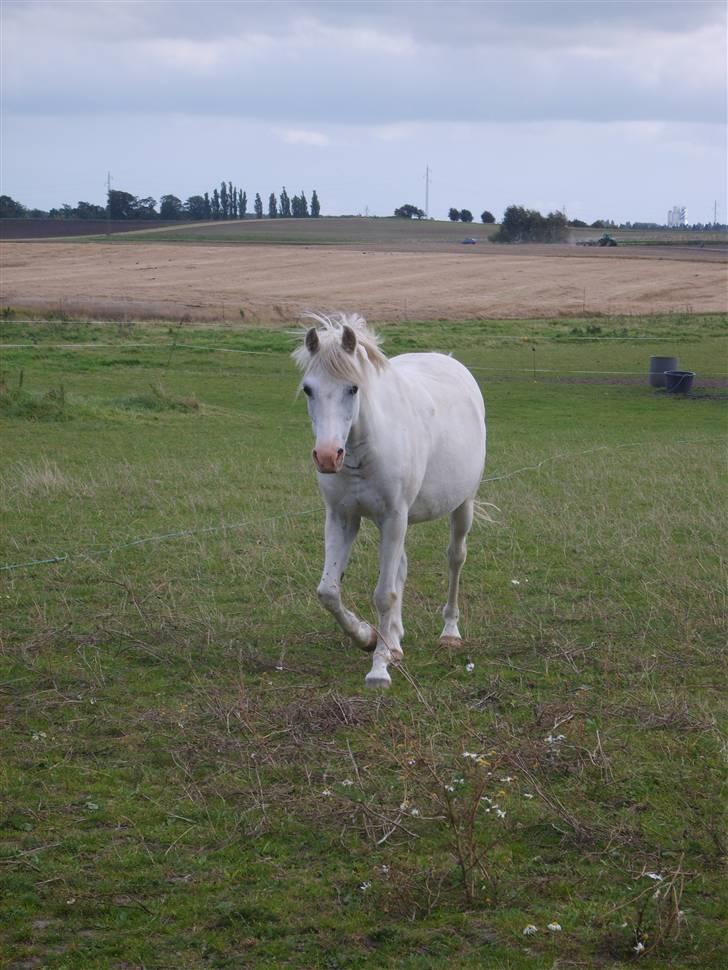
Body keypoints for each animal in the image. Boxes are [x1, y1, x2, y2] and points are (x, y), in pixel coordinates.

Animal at [292, 314, 486, 684]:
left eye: (353, 388)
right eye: (308, 388)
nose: (327, 457)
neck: (362, 450)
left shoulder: (394, 516)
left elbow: (384, 594)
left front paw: (379, 668)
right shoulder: (342, 517)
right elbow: (329, 592)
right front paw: (369, 637)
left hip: (461, 505)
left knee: (456, 558)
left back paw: (449, 632)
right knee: (401, 569)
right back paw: (394, 639)